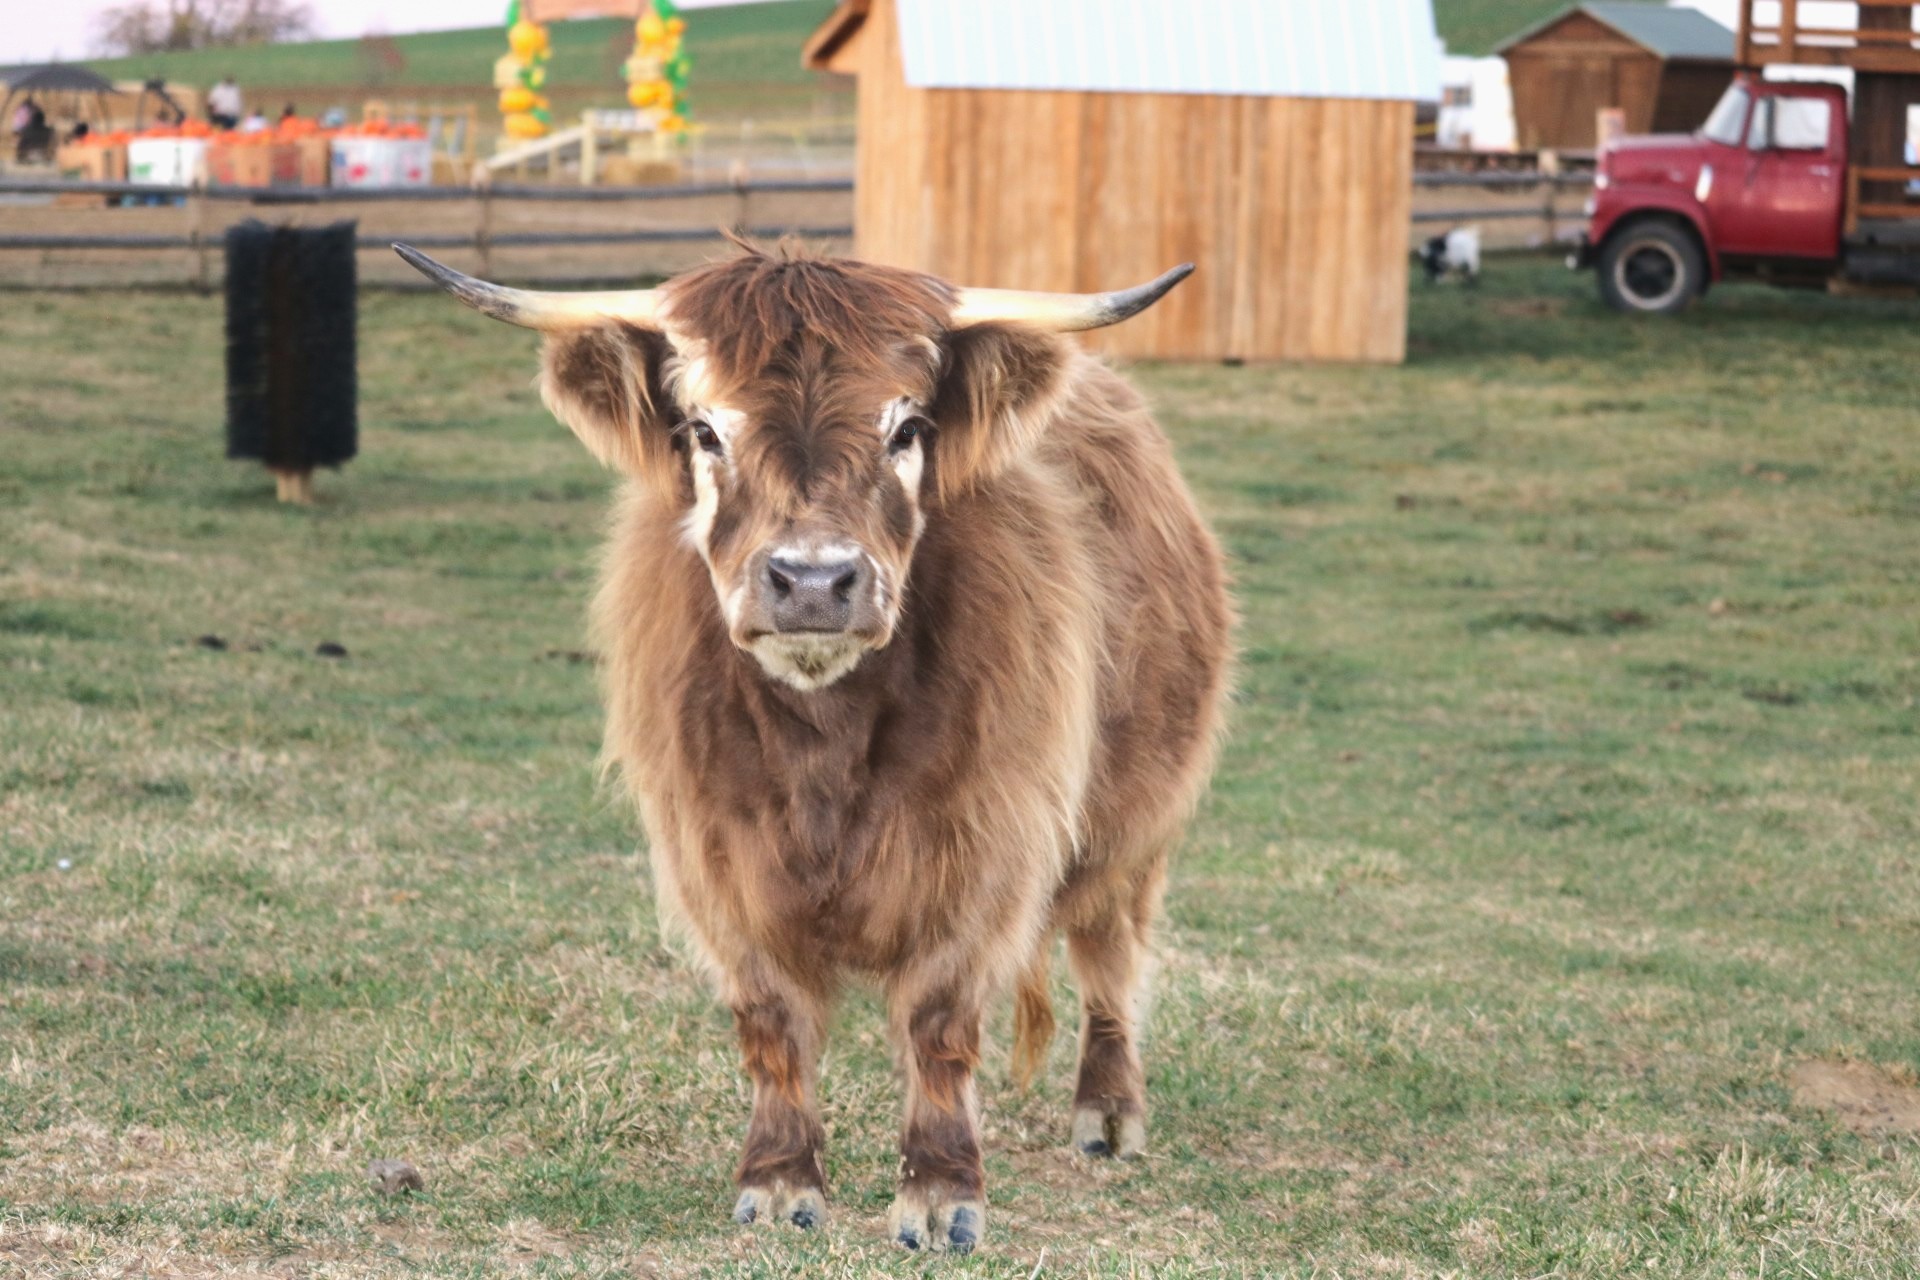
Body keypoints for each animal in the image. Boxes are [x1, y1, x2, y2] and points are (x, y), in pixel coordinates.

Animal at [395, 240, 1233, 1253]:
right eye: (704, 429)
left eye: (908, 427)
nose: (812, 581)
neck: (824, 750)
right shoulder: (717, 853)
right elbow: (773, 1020)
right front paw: (780, 1181)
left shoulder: (985, 844)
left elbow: (940, 1018)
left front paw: (941, 1196)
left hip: (1136, 822)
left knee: (1110, 956)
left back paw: (1108, 1115)